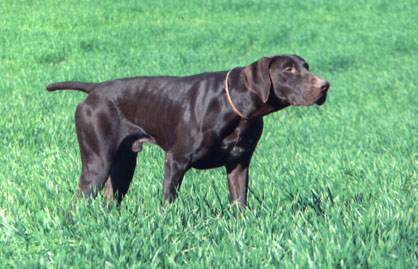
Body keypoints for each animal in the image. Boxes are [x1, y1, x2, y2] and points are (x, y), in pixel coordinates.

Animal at [45, 53, 330, 206]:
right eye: (288, 69)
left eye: (306, 66)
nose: (325, 85)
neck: (234, 107)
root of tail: (94, 89)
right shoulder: (176, 161)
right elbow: (168, 202)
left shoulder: (239, 166)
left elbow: (240, 203)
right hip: (97, 164)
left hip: (123, 165)